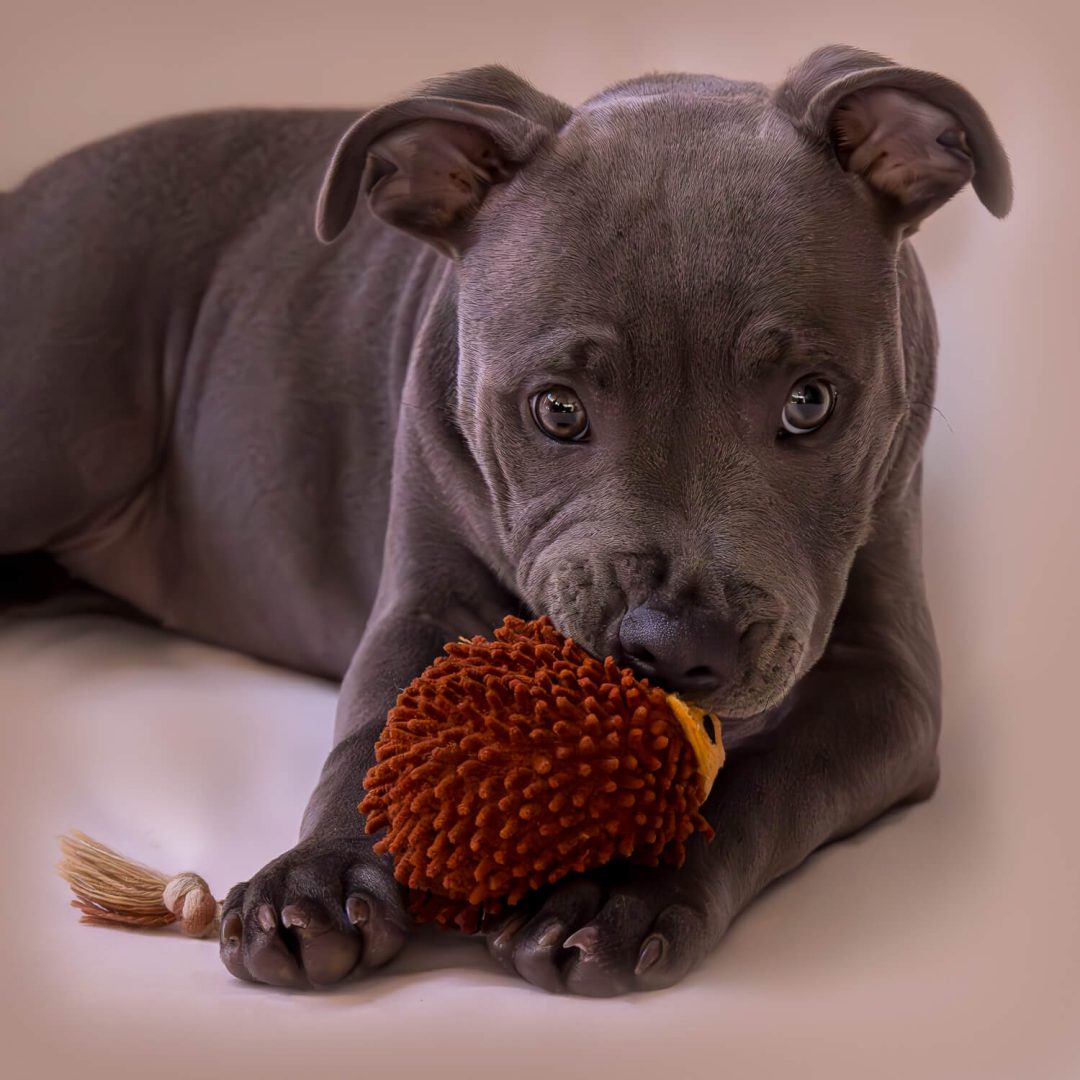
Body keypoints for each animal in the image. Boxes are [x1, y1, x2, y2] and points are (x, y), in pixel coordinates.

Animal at [2, 46, 1010, 993]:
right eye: (556, 410)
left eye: (811, 402)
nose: (679, 644)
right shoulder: (421, 601)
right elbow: (374, 728)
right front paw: (316, 879)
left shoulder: (886, 684)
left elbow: (769, 777)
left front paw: (618, 890)